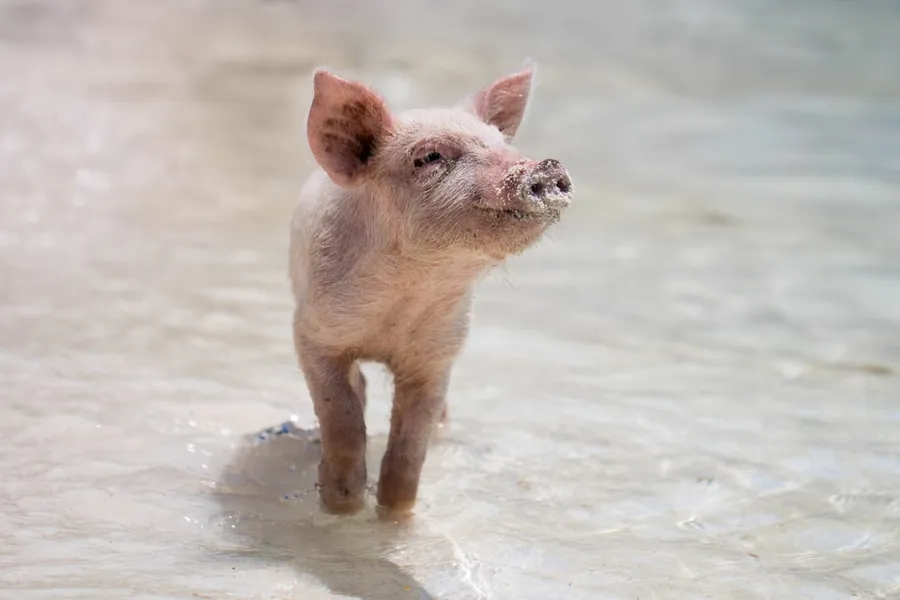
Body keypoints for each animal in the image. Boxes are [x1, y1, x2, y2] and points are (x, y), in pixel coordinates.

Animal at [289, 62, 573, 516]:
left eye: (501, 144)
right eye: (429, 157)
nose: (546, 167)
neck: (407, 294)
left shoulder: (438, 354)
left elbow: (410, 446)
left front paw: (394, 514)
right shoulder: (313, 333)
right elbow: (342, 415)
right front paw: (342, 505)